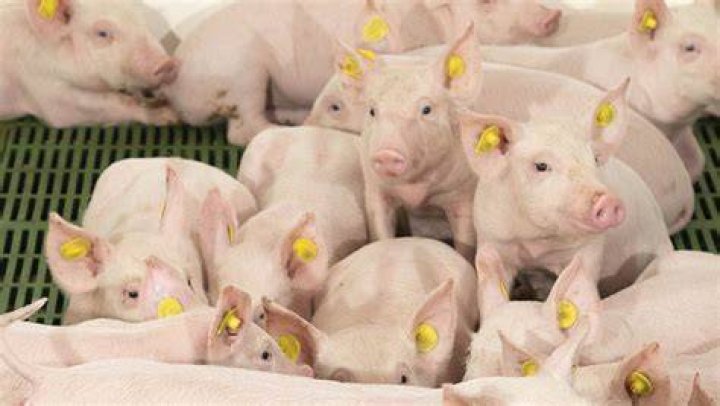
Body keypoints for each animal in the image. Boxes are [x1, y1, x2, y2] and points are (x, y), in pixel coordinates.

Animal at [0, 0, 179, 126]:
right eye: (102, 33)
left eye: (141, 19)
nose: (166, 63)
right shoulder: (42, 86)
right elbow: (111, 102)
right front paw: (169, 116)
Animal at [163, 0, 562, 145]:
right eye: (486, 1)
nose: (554, 15)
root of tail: (176, 74)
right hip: (244, 74)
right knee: (241, 129)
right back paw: (283, 128)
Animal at [458, 82, 674, 296]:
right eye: (541, 165)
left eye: (595, 159)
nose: (609, 201)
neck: (537, 244)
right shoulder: (490, 238)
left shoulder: (591, 248)